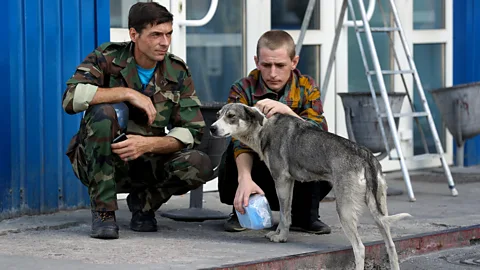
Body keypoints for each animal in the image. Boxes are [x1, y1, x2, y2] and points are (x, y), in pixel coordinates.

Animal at [210, 103, 412, 270]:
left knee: (360, 248)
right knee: (391, 246)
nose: (212, 128)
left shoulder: (281, 181)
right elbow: (286, 213)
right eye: (218, 114)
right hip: (379, 210)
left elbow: (284, 215)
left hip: (345, 210)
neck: (263, 127)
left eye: (231, 116)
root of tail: (366, 156)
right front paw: (278, 233)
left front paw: (280, 237)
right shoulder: (289, 182)